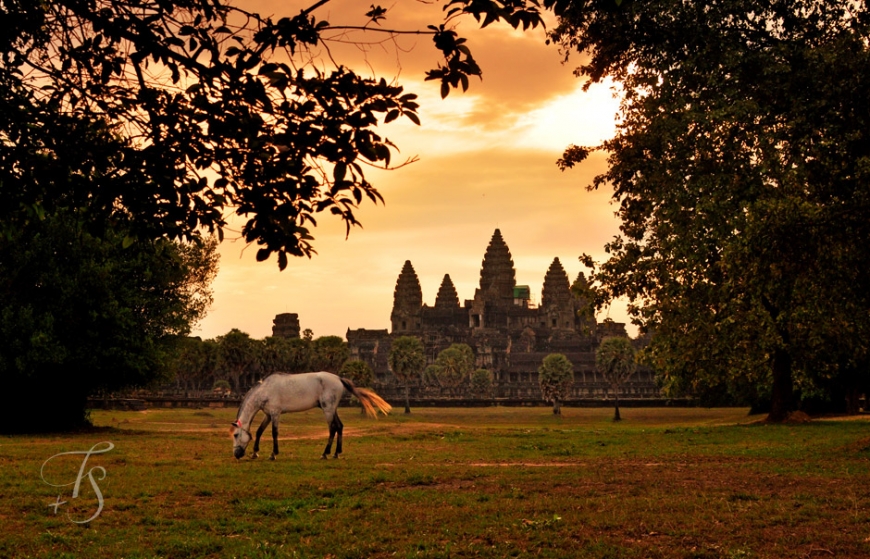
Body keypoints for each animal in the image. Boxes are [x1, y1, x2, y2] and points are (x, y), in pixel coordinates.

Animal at [233, 374, 394, 462]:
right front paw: (255, 453)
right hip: (331, 409)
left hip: (328, 410)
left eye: (235, 435)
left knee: (332, 428)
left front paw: (273, 454)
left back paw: (325, 454)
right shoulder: (267, 414)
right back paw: (336, 453)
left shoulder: (275, 414)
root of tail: (338, 378)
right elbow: (259, 431)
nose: (236, 454)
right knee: (339, 426)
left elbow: (274, 433)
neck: (265, 390)